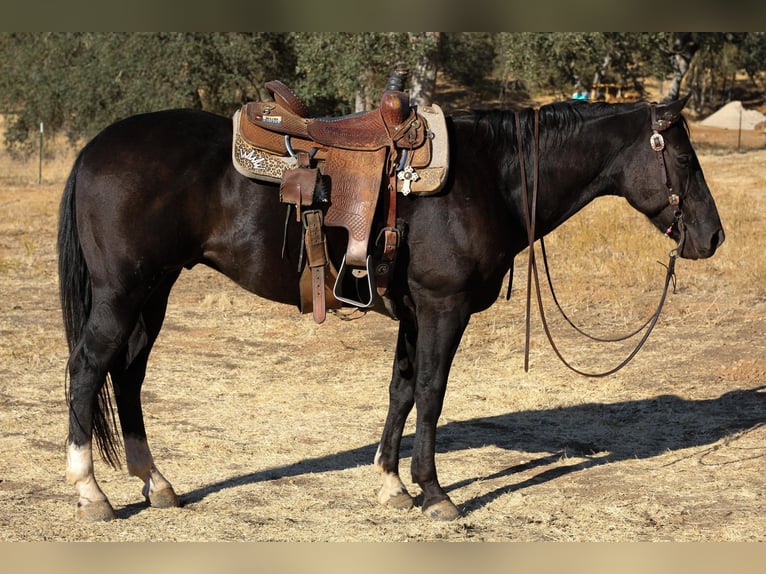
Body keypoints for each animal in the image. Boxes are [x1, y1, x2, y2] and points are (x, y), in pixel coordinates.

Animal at [58, 94, 724, 522]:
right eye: (683, 158)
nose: (713, 237)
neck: (492, 175)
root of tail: (94, 148)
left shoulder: (413, 313)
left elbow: (401, 390)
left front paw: (391, 485)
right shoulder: (443, 308)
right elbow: (431, 392)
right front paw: (435, 493)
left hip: (155, 290)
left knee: (128, 375)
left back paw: (157, 484)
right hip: (122, 292)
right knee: (88, 369)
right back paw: (91, 494)